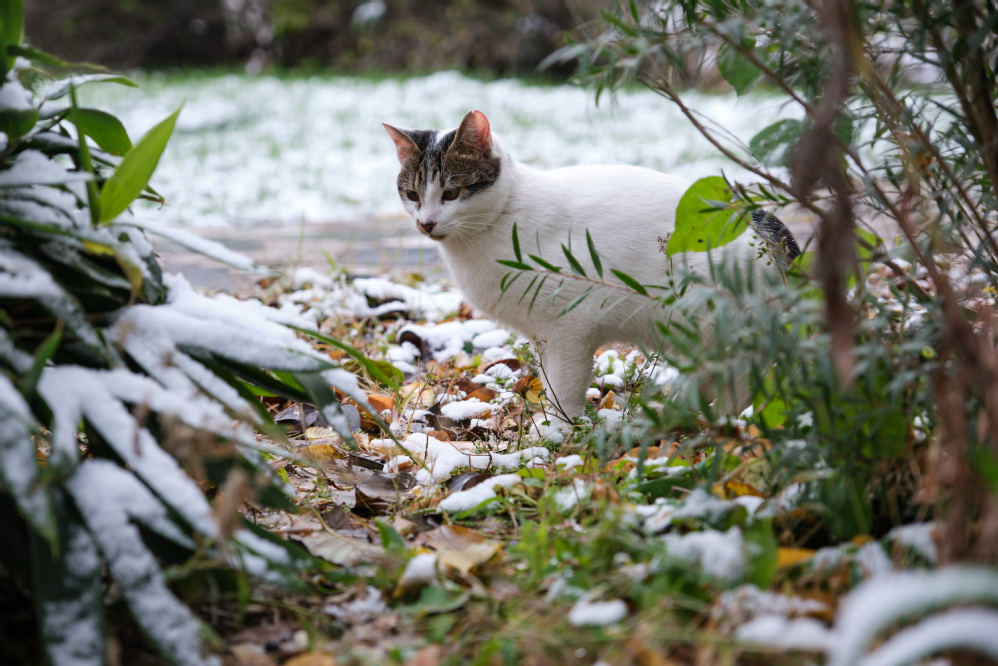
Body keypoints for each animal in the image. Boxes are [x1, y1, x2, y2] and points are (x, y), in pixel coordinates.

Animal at [383, 110, 800, 422]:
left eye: (451, 193)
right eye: (412, 195)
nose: (426, 223)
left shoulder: (572, 329)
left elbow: (564, 390)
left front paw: (555, 433)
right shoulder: (543, 337)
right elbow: (549, 382)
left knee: (744, 380)